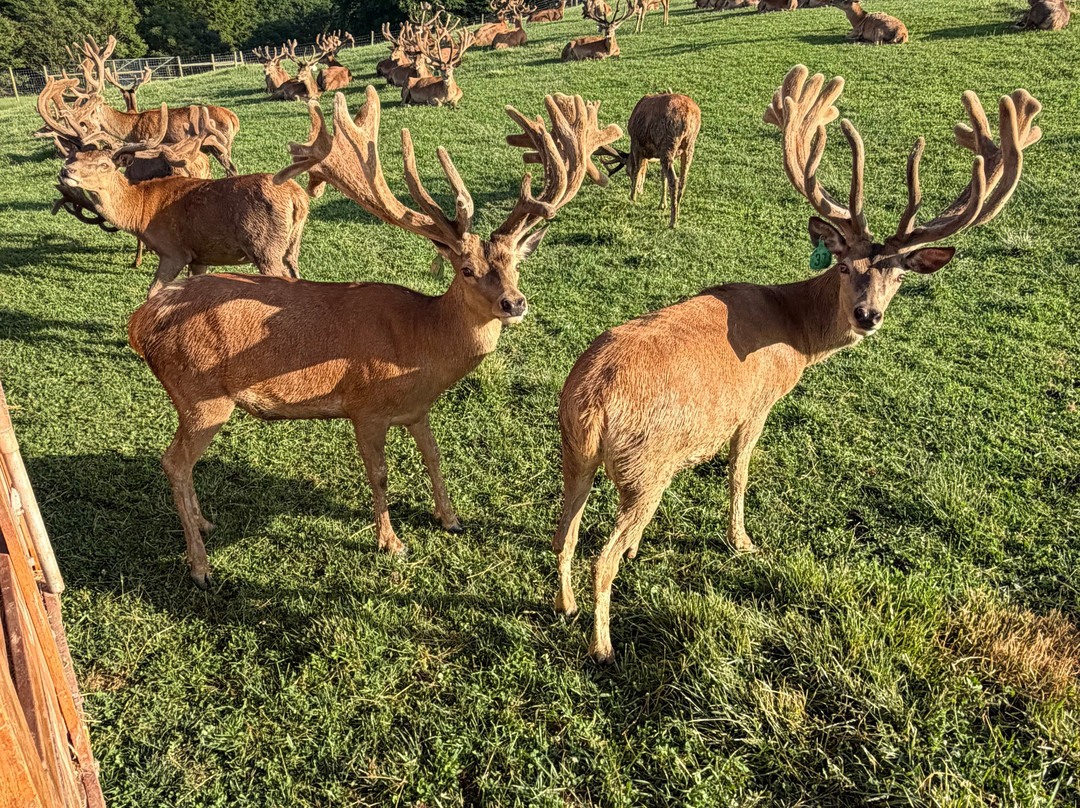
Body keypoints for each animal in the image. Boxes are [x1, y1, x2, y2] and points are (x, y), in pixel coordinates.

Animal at [124, 87, 620, 588]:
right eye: (466, 269)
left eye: (516, 263)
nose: (514, 304)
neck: (420, 343)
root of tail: (140, 323)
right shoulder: (364, 406)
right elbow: (379, 474)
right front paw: (392, 542)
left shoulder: (417, 409)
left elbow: (434, 457)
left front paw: (451, 518)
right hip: (200, 394)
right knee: (173, 461)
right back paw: (200, 565)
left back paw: (205, 523)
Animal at [597, 93, 700, 228]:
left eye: (627, 172)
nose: (639, 190)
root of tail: (688, 116)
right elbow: (662, 176)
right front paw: (662, 204)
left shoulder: (636, 143)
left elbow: (637, 169)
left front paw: (633, 197)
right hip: (689, 145)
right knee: (683, 180)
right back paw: (677, 211)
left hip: (668, 143)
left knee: (674, 180)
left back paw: (673, 221)